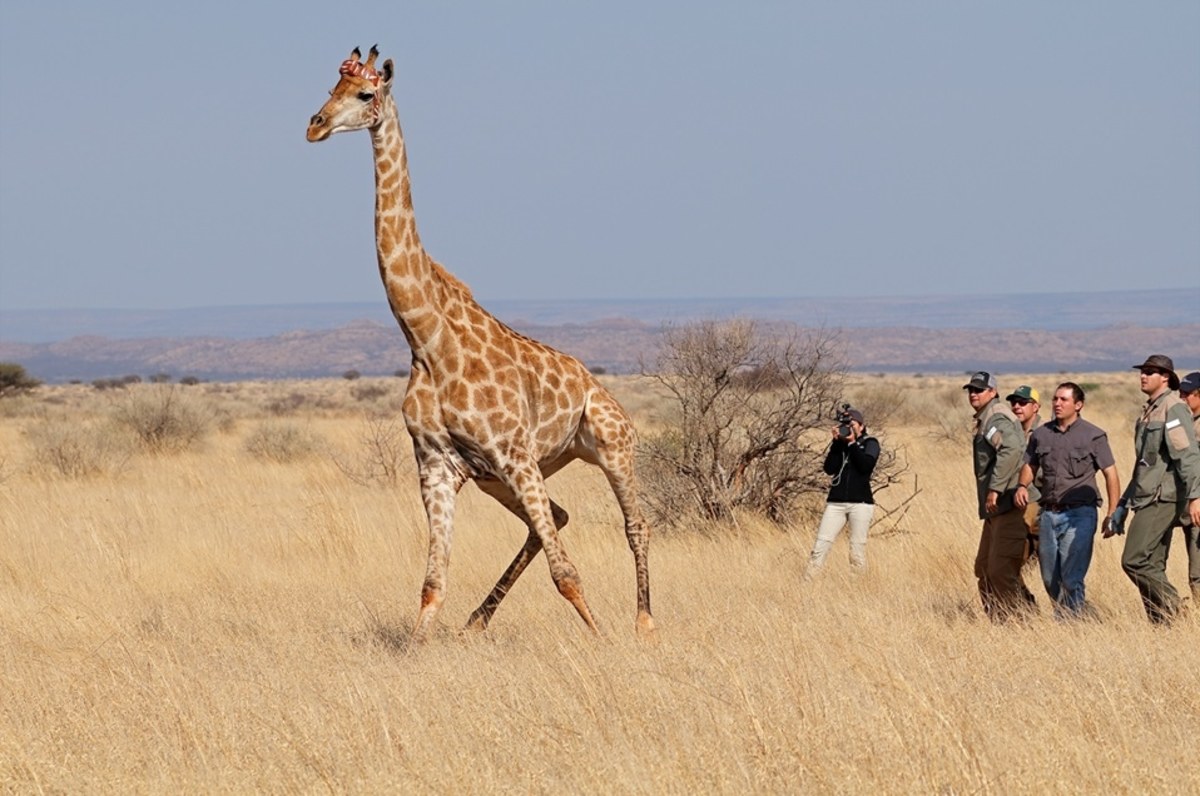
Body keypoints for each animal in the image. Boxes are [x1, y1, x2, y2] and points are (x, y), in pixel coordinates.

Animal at [304, 45, 652, 643]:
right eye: (330, 88)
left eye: (365, 93)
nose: (315, 125)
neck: (426, 337)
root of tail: (596, 384)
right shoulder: (438, 465)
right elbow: (432, 582)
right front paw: (418, 649)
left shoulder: (512, 453)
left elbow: (567, 574)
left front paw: (601, 639)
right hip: (507, 475)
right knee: (556, 518)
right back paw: (476, 621)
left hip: (608, 445)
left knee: (636, 524)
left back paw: (643, 623)